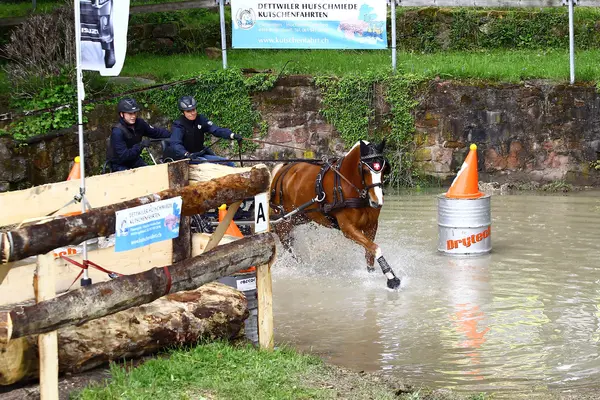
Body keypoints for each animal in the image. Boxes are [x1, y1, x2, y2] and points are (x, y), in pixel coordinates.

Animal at [270, 139, 400, 290]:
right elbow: (375, 248)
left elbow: (370, 253)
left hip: (301, 216)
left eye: (384, 169)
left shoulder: (371, 226)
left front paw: (372, 273)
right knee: (287, 244)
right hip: (284, 221)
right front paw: (392, 278)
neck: (349, 183)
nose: (376, 201)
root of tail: (283, 169)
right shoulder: (348, 229)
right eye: (365, 170)